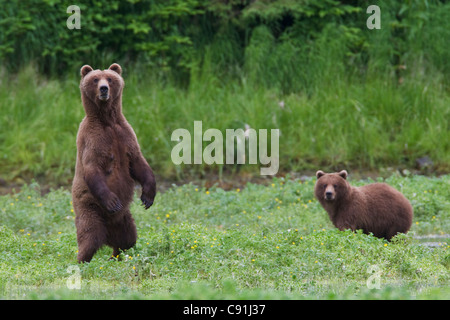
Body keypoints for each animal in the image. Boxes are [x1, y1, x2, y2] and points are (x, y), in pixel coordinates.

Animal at [70, 63, 155, 262]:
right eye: (95, 79)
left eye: (110, 78)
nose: (104, 89)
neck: (107, 120)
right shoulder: (92, 140)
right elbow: (92, 168)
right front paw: (112, 201)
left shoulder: (125, 135)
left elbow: (138, 163)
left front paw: (148, 197)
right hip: (90, 208)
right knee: (90, 236)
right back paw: (82, 260)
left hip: (124, 219)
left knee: (128, 239)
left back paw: (115, 255)